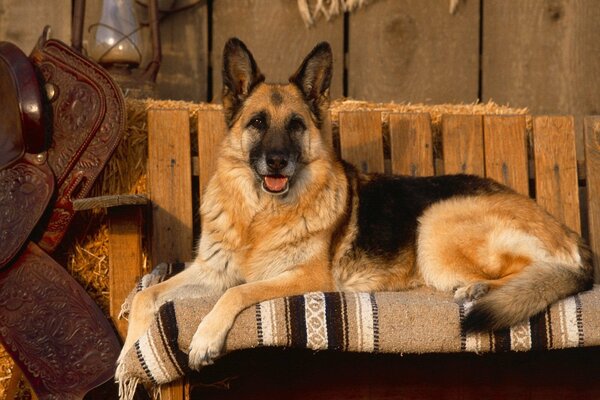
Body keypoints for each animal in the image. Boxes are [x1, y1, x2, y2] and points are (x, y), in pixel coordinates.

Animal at [117, 39, 592, 370]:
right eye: (257, 123)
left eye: (296, 125)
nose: (278, 160)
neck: (259, 216)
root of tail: (570, 234)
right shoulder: (210, 270)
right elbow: (147, 297)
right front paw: (128, 359)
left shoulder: (304, 276)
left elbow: (238, 292)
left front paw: (204, 338)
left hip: (436, 220)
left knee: (537, 272)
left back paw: (479, 289)